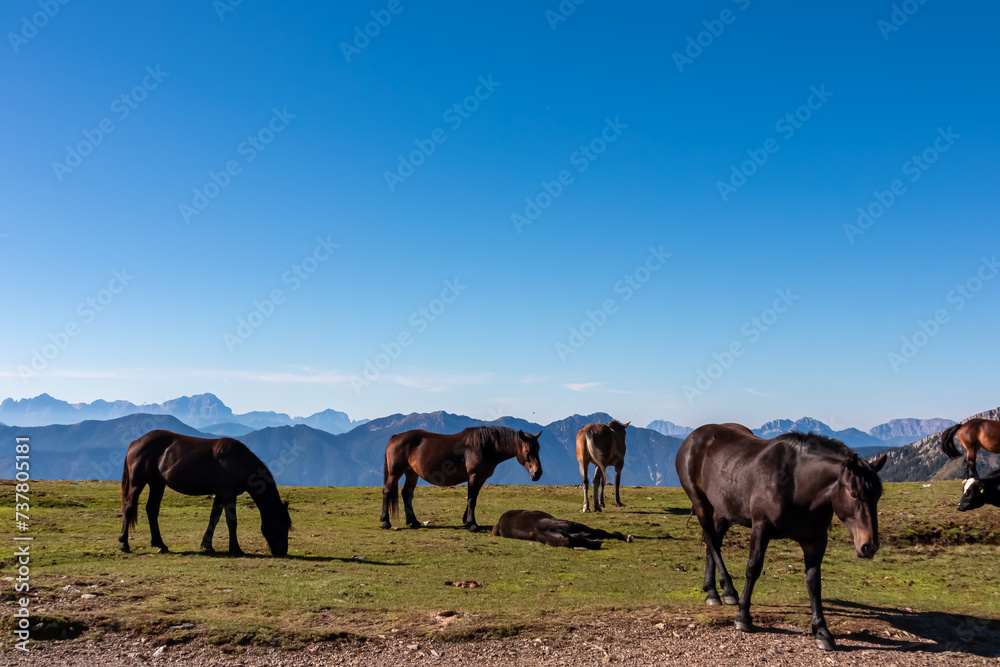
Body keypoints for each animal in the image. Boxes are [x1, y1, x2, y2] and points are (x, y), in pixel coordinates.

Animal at [119, 430, 291, 556]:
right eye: (283, 525)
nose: (282, 552)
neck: (238, 460)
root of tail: (135, 443)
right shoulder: (228, 494)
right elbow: (231, 521)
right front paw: (235, 549)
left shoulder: (220, 495)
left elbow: (214, 518)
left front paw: (207, 545)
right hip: (137, 484)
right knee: (128, 507)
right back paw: (124, 544)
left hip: (157, 484)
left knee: (152, 510)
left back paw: (160, 544)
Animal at [380, 426, 542, 532]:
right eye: (527, 450)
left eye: (538, 449)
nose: (537, 473)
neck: (485, 446)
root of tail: (395, 437)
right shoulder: (474, 476)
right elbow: (471, 499)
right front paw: (472, 524)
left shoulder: (481, 478)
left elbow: (473, 498)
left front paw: (467, 521)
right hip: (395, 473)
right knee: (387, 491)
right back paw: (385, 522)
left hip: (411, 473)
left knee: (407, 494)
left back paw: (413, 521)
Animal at [675, 423, 887, 651]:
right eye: (854, 494)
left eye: (878, 496)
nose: (869, 546)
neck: (797, 485)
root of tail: (693, 436)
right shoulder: (761, 528)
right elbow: (753, 569)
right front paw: (743, 617)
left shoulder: (816, 540)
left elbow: (814, 582)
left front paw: (822, 631)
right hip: (701, 504)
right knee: (712, 542)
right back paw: (726, 591)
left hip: (723, 510)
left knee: (712, 542)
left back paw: (715, 591)